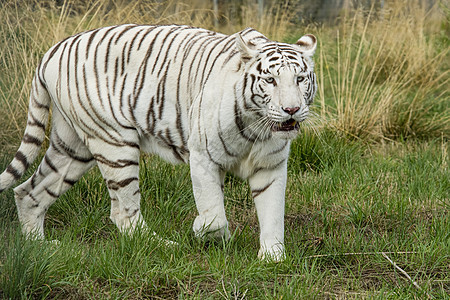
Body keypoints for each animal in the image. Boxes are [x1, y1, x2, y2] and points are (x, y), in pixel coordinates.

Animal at [0, 25, 316, 260]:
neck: (257, 126)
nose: (291, 109)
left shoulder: (270, 167)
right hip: (115, 143)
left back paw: (40, 246)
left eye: (300, 79)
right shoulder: (203, 157)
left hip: (73, 147)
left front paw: (272, 258)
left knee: (28, 192)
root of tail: (52, 51)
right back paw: (163, 246)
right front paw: (207, 232)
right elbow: (214, 214)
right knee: (124, 213)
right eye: (270, 81)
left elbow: (273, 214)